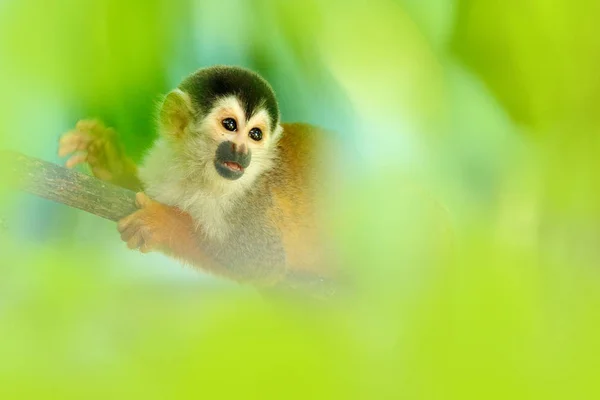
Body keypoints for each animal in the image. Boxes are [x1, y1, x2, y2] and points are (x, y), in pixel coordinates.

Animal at [58, 65, 336, 296]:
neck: (199, 174)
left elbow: (262, 263)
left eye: (255, 134)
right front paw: (109, 160)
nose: (241, 151)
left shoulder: (250, 203)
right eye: (230, 125)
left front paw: (163, 224)